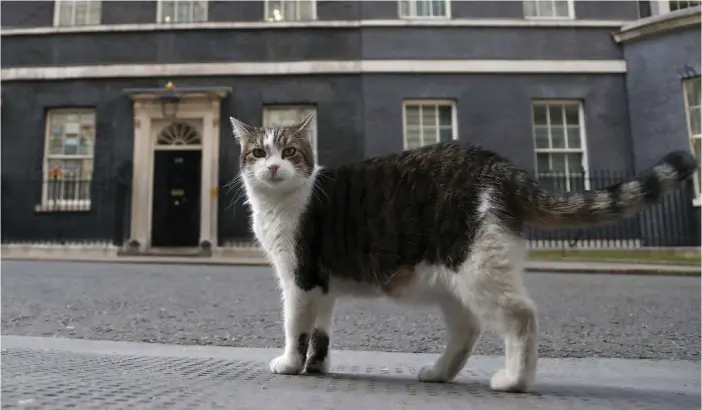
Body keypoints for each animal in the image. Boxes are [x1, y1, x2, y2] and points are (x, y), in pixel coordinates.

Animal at [230, 113, 700, 394]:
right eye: (258, 152)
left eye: (290, 152)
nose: (272, 167)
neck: (282, 202)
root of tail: (497, 166)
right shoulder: (324, 285)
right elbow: (321, 331)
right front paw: (317, 366)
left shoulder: (300, 277)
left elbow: (295, 326)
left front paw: (290, 363)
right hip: (452, 281)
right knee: (467, 329)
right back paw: (439, 373)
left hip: (478, 269)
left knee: (521, 317)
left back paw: (514, 380)